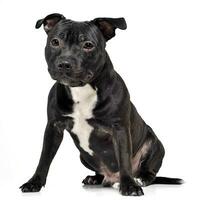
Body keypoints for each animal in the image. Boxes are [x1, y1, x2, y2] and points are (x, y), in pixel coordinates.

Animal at [19, 13, 183, 196]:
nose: (65, 63)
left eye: (88, 45)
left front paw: (129, 186)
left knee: (150, 172)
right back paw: (95, 178)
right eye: (55, 42)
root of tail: (111, 178)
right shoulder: (53, 128)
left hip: (155, 145)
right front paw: (34, 182)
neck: (81, 89)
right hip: (83, 156)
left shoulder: (119, 129)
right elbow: (44, 158)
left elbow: (124, 158)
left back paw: (139, 179)